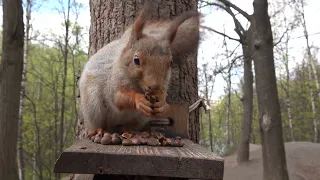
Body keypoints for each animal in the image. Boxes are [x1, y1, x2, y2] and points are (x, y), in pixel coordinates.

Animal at [78, 0, 201, 137]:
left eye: (171, 62)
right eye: (136, 60)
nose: (154, 87)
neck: (137, 85)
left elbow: (163, 95)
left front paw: (162, 103)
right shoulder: (112, 83)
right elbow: (118, 98)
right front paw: (139, 100)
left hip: (141, 117)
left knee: (128, 125)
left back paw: (130, 130)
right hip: (92, 106)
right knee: (98, 124)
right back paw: (100, 130)